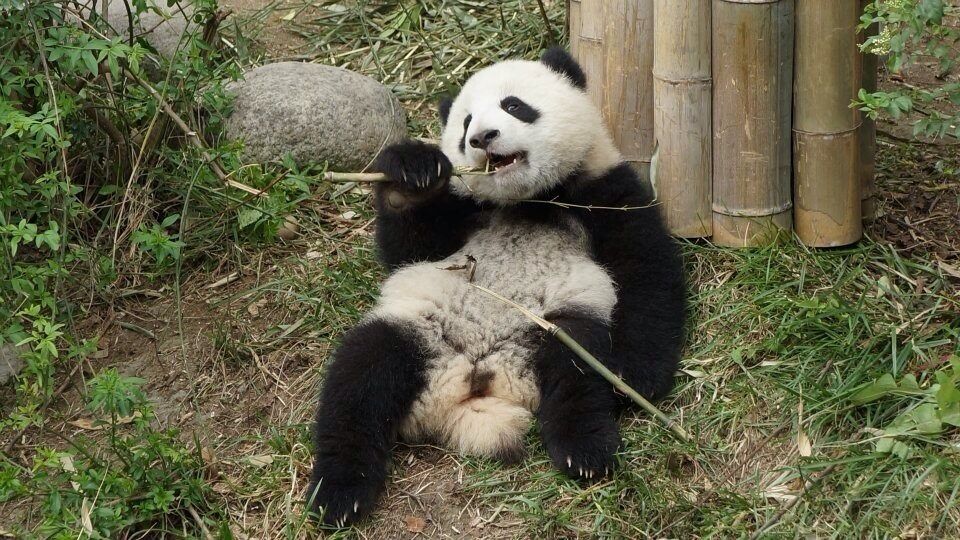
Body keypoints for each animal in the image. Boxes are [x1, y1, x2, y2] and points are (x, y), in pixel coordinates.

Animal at [307, 47, 686, 526]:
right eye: (465, 122)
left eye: (514, 105)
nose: (482, 138)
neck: (528, 201)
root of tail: (473, 384)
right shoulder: (462, 210)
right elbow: (410, 250)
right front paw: (412, 172)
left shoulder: (605, 189)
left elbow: (645, 269)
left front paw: (633, 376)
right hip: (417, 328)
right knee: (360, 377)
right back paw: (339, 492)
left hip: (551, 327)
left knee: (575, 369)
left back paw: (585, 449)